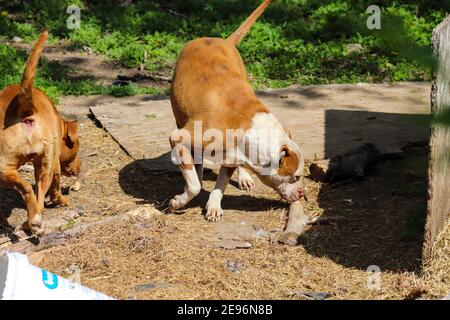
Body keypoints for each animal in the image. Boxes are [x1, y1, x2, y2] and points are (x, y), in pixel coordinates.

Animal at [0, 31, 81, 234]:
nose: (79, 166)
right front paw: (61, 200)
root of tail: (24, 109)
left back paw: (27, 222)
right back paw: (34, 221)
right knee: (31, 192)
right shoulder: (55, 165)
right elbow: (55, 189)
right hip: (39, 167)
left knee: (32, 196)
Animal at [170, 0, 306, 222]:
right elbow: (195, 186)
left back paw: (243, 177)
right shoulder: (178, 138)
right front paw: (178, 201)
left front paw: (214, 206)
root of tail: (222, 40)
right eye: (296, 176)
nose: (302, 193)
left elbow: (221, 183)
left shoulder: (233, 156)